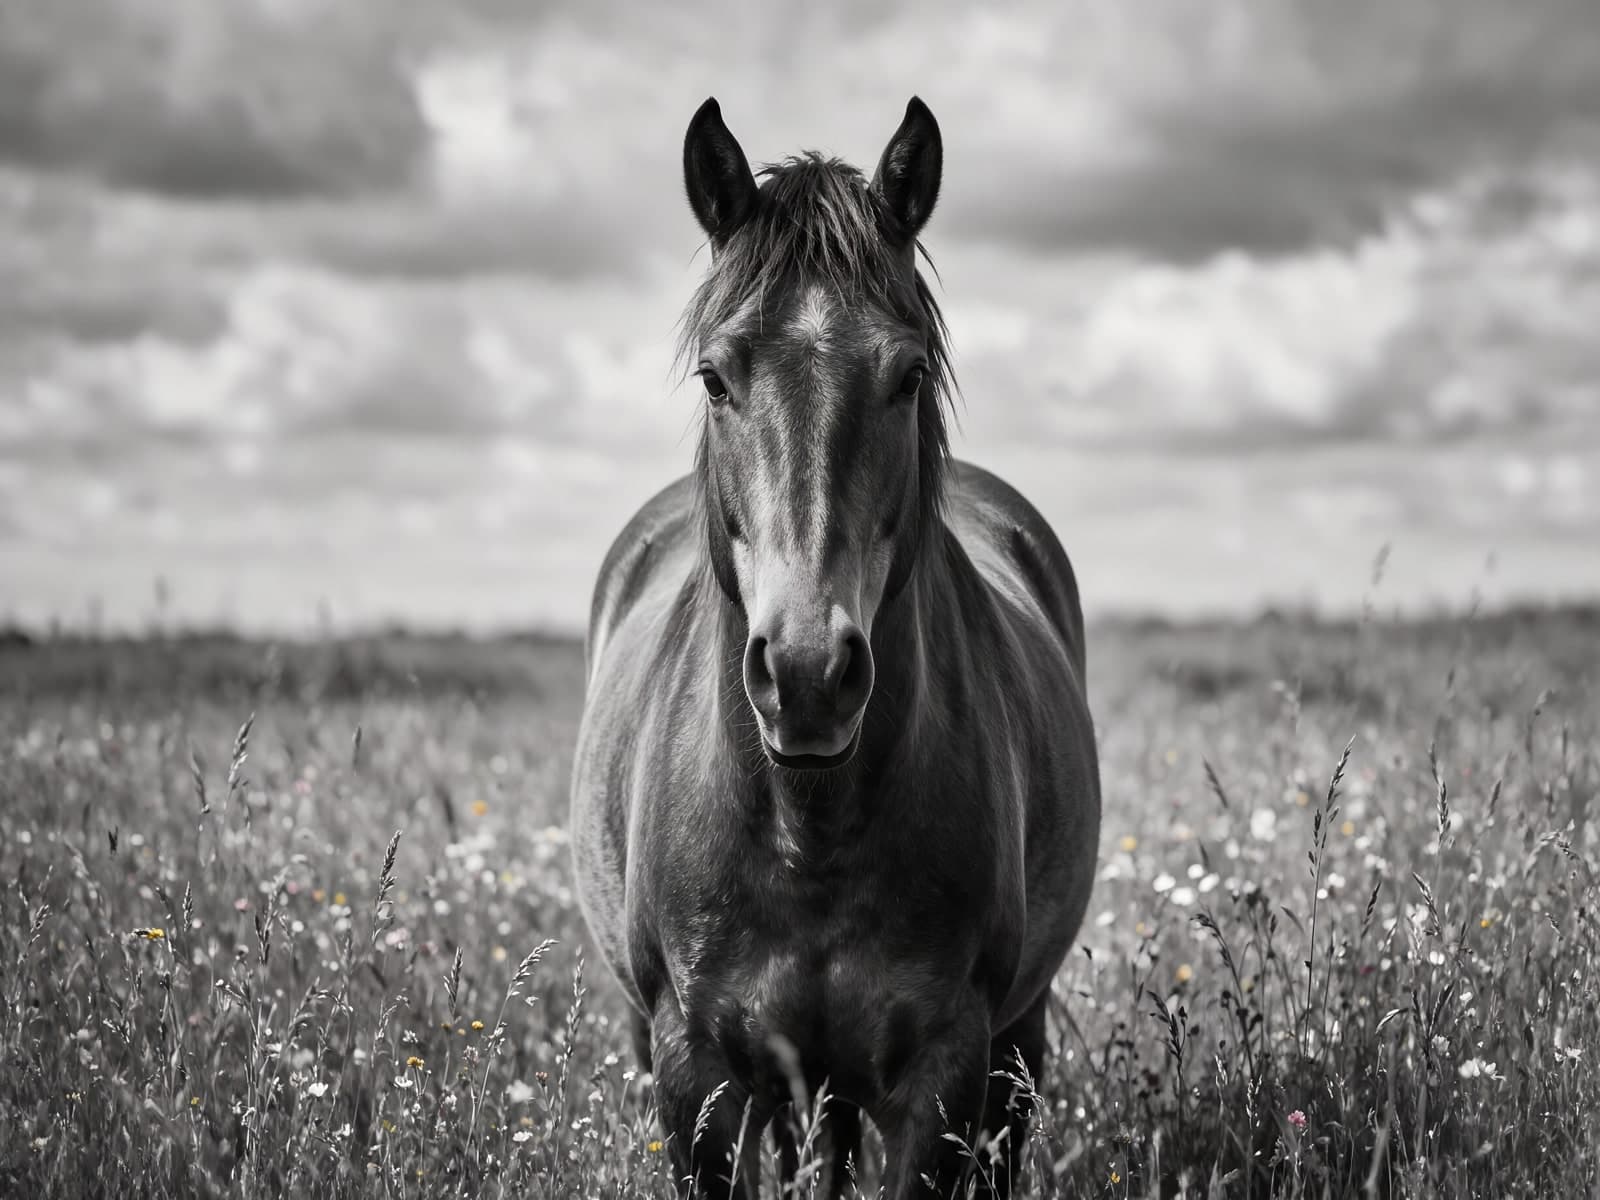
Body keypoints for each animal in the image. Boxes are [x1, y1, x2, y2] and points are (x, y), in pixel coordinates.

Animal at [570, 96, 1101, 1199]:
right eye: (714, 376)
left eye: (907, 374)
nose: (807, 675)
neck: (808, 828)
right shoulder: (693, 1070)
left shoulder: (945, 1068)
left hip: (1014, 1040)